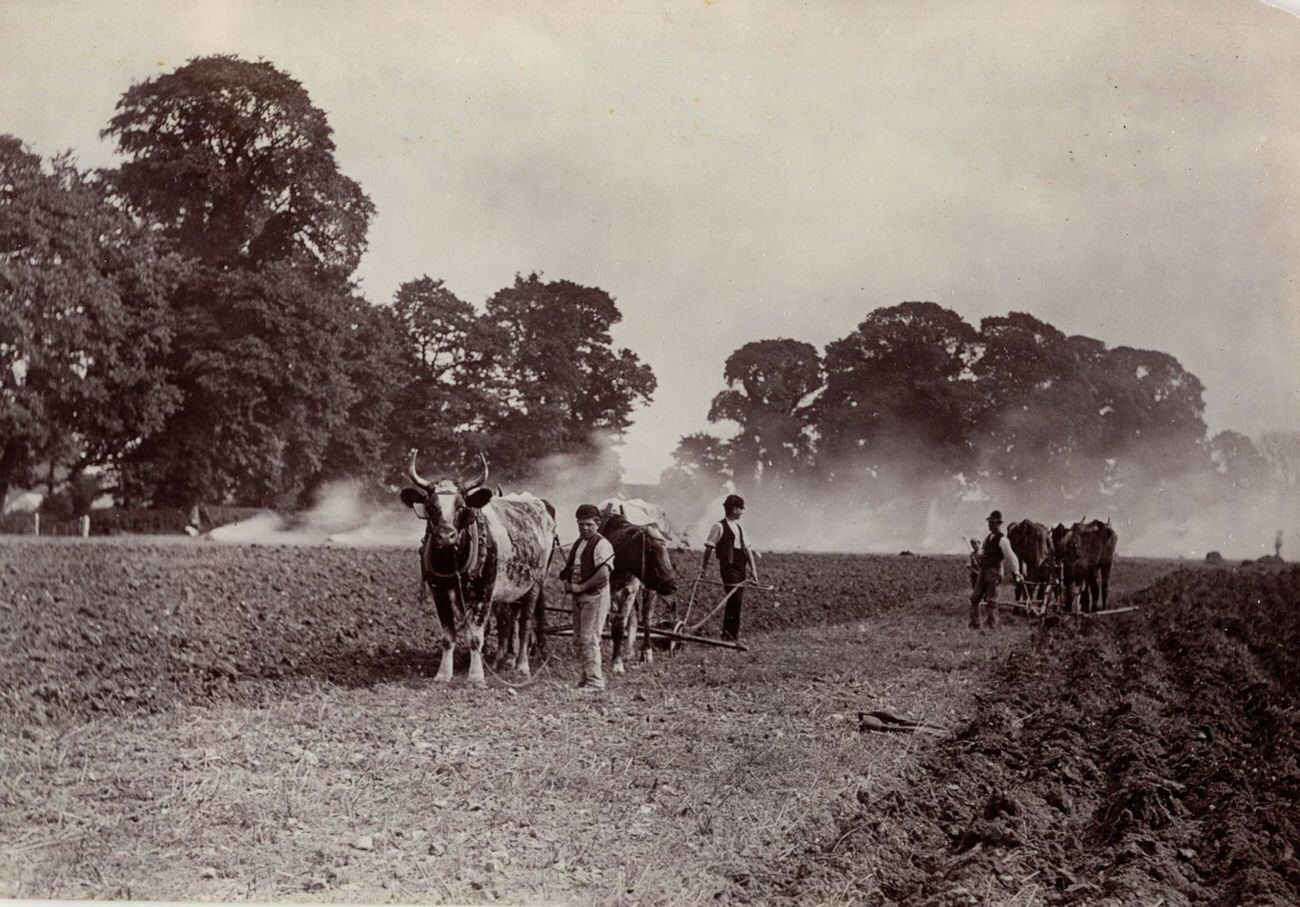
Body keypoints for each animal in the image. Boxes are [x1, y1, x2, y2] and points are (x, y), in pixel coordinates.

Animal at [595, 509, 681, 670]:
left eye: (666, 548)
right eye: (651, 549)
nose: (672, 585)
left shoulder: (629, 589)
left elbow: (620, 624)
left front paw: (617, 662)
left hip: (650, 590)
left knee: (646, 619)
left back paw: (646, 653)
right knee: (634, 617)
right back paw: (629, 651)